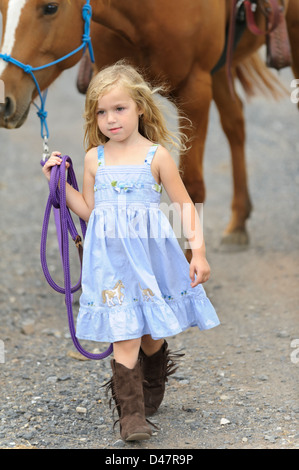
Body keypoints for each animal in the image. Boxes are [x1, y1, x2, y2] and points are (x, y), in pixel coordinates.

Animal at [0, 0, 296, 246]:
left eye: (50, 7)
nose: (3, 101)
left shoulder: (197, 89)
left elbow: (191, 188)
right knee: (235, 122)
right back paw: (238, 224)